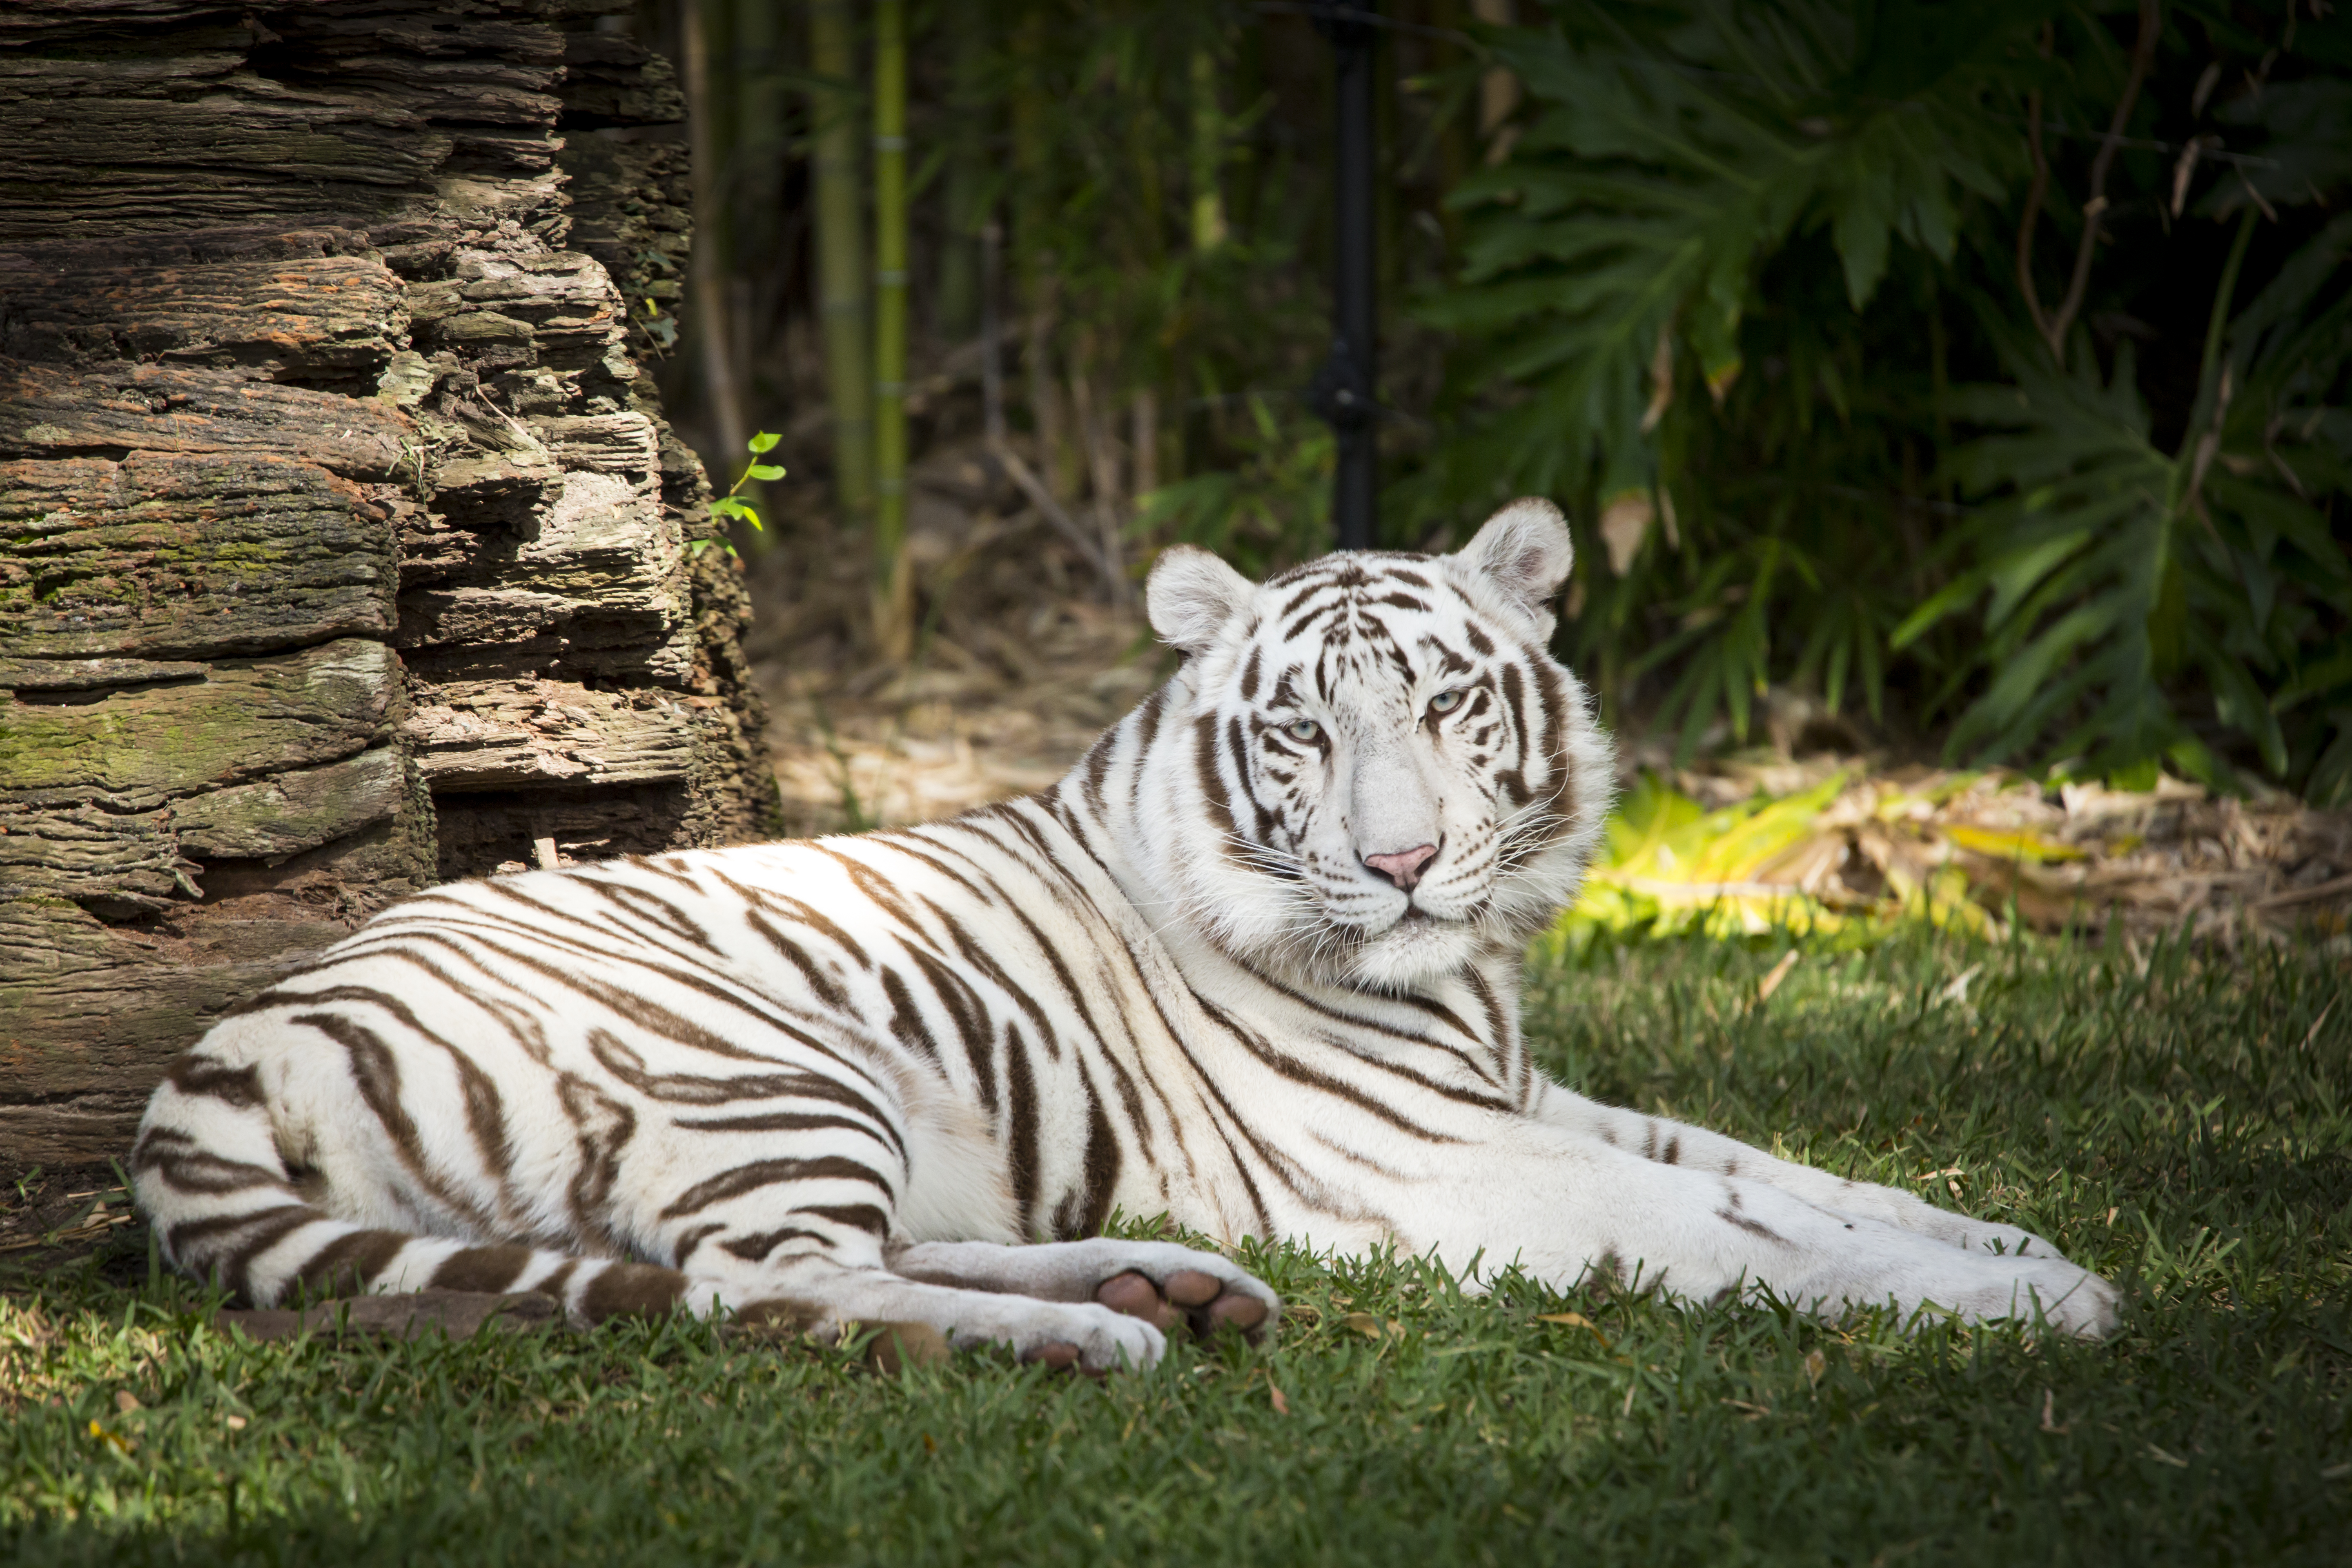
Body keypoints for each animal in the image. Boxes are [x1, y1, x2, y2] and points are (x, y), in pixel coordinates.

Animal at [129, 496, 2126, 1363]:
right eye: (1304, 729)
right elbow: (1737, 1229)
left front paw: (2018, 1236)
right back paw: (1104, 1343)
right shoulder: (1448, 1168)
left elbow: (1780, 1170)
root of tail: (216, 1055)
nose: (1407, 864)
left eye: (1448, 706)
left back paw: (1161, 1285)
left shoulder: (1527, 1102)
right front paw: (2034, 1306)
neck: (1466, 986)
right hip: (771, 1066)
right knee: (767, 1285)